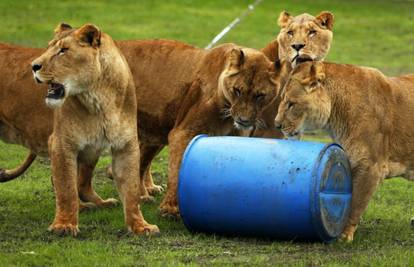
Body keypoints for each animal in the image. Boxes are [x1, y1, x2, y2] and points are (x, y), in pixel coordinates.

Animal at [30, 23, 159, 237]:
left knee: (83, 184)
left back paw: (100, 203)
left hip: (92, 152)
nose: (33, 66)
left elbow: (131, 190)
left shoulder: (126, 146)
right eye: (48, 48)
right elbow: (66, 189)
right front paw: (64, 225)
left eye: (63, 50)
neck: (99, 98)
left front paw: (140, 226)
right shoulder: (61, 144)